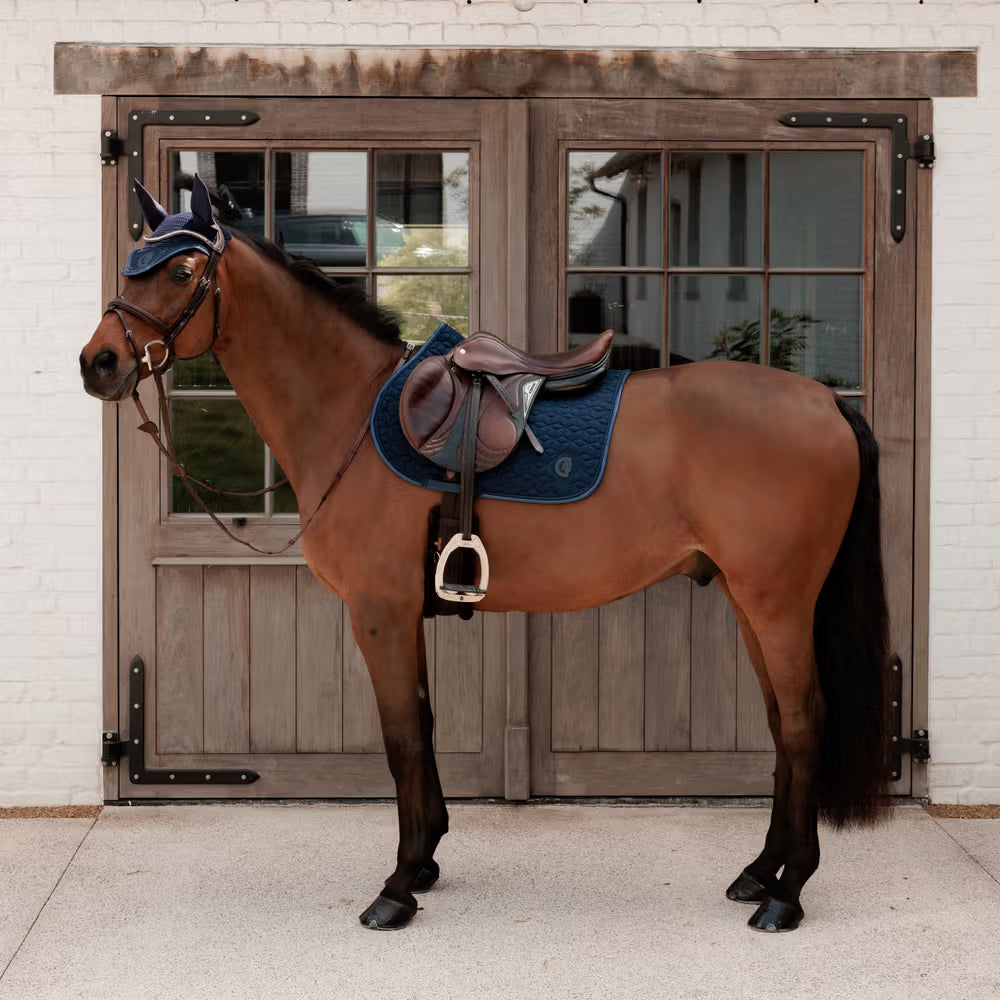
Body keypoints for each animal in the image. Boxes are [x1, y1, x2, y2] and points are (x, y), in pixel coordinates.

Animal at [80, 175, 890, 934]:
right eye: (131, 266)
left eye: (182, 270)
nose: (99, 362)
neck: (350, 411)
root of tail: (825, 402)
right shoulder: (401, 615)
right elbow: (425, 724)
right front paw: (426, 858)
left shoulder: (379, 612)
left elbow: (402, 737)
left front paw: (398, 886)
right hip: (751, 600)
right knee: (780, 723)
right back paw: (759, 872)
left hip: (777, 603)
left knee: (803, 721)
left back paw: (787, 893)